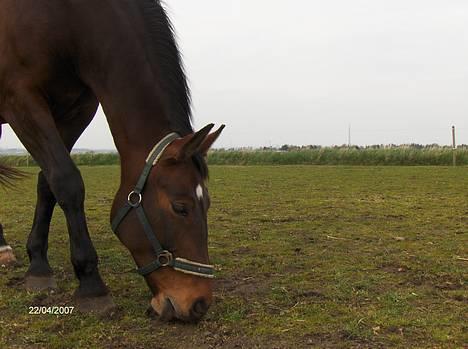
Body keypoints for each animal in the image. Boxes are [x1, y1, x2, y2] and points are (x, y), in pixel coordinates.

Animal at [0, 0, 223, 320]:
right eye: (180, 208)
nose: (199, 304)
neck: (65, 18)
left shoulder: (79, 108)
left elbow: (47, 182)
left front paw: (39, 266)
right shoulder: (20, 98)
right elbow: (66, 180)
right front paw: (91, 284)